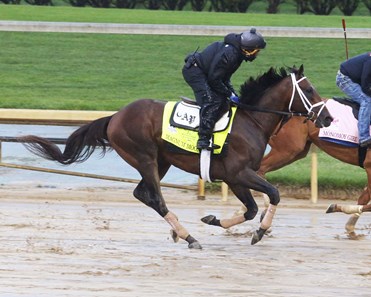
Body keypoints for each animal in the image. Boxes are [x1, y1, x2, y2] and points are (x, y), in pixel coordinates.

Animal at [17, 65, 332, 247]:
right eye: (308, 89)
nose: (327, 117)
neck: (250, 120)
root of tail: (115, 117)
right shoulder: (239, 173)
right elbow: (274, 195)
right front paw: (260, 232)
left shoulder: (237, 177)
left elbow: (252, 209)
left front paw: (214, 220)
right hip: (145, 157)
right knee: (155, 198)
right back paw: (187, 236)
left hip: (162, 161)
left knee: (142, 194)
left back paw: (177, 230)